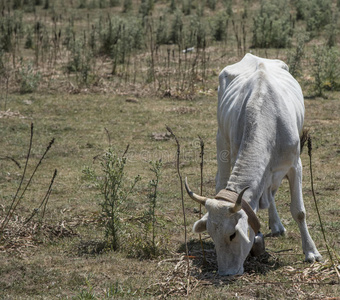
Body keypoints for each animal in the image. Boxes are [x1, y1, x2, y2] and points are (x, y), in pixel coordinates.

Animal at [186, 54, 322, 276]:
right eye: (212, 235)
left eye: (233, 234)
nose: (226, 273)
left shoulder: (295, 165)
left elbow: (299, 211)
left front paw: (311, 252)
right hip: (221, 138)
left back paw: (277, 225)